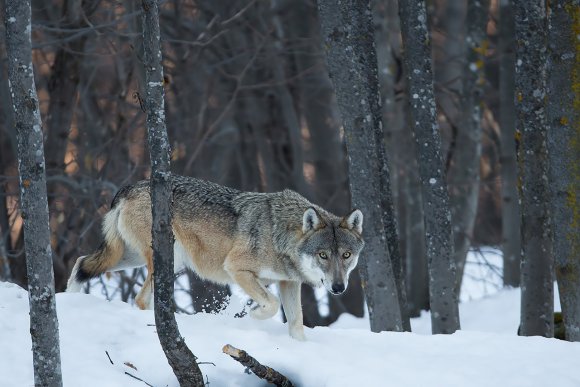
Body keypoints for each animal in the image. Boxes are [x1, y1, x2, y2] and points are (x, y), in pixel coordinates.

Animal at [67, 174, 362, 342]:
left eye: (346, 255)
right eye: (323, 255)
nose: (338, 287)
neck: (280, 236)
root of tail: (131, 186)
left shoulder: (289, 283)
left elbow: (297, 325)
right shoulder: (237, 270)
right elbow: (272, 304)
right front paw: (253, 316)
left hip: (134, 258)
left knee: (81, 262)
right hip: (167, 260)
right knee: (140, 299)